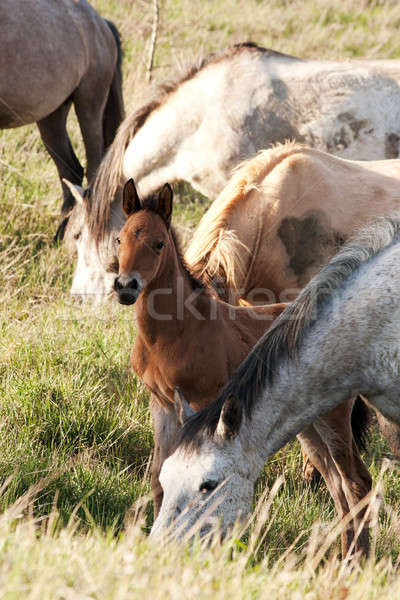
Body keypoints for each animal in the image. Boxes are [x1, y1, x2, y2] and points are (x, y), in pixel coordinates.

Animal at [113, 179, 372, 556]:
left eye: (158, 243)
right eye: (120, 239)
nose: (125, 287)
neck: (178, 328)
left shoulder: (205, 403)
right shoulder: (162, 404)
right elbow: (160, 473)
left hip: (333, 418)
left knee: (356, 482)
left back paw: (357, 561)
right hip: (308, 425)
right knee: (337, 485)